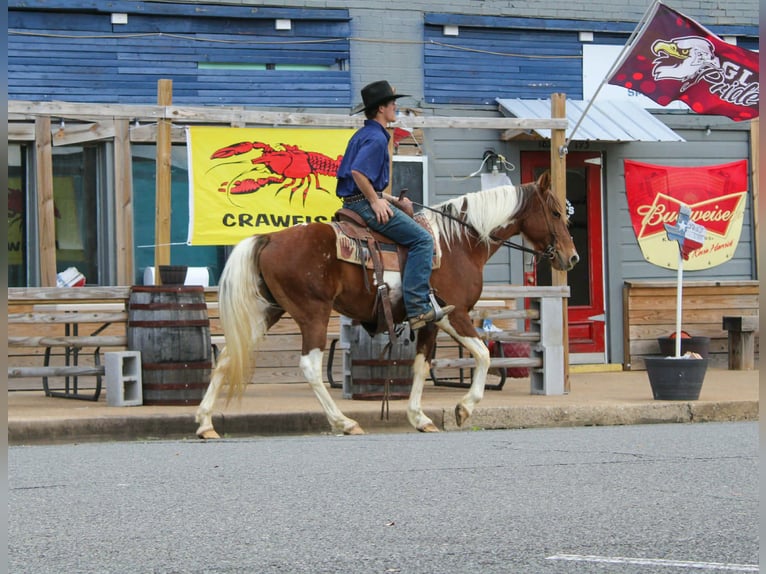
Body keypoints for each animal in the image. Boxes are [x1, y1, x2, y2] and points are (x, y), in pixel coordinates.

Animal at [195, 171, 579, 438]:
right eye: (555, 212)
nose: (572, 257)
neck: (458, 243)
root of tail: (269, 237)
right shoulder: (455, 314)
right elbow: (484, 355)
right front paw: (463, 408)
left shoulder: (429, 319)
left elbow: (421, 366)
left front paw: (419, 417)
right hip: (313, 313)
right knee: (310, 366)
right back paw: (344, 422)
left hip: (268, 312)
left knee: (226, 357)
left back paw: (204, 422)